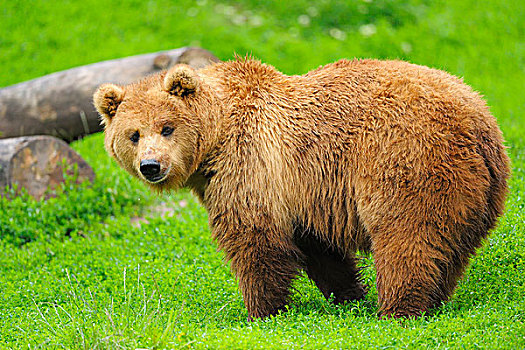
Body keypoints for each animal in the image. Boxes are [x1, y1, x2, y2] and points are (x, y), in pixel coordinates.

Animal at [93, 56, 508, 318]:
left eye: (167, 127)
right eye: (133, 134)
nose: (151, 166)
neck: (216, 140)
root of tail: (479, 120)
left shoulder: (254, 165)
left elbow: (255, 241)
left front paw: (261, 312)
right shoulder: (302, 192)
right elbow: (319, 249)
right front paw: (348, 295)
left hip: (407, 161)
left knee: (406, 237)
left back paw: (398, 308)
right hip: (474, 190)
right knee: (449, 249)